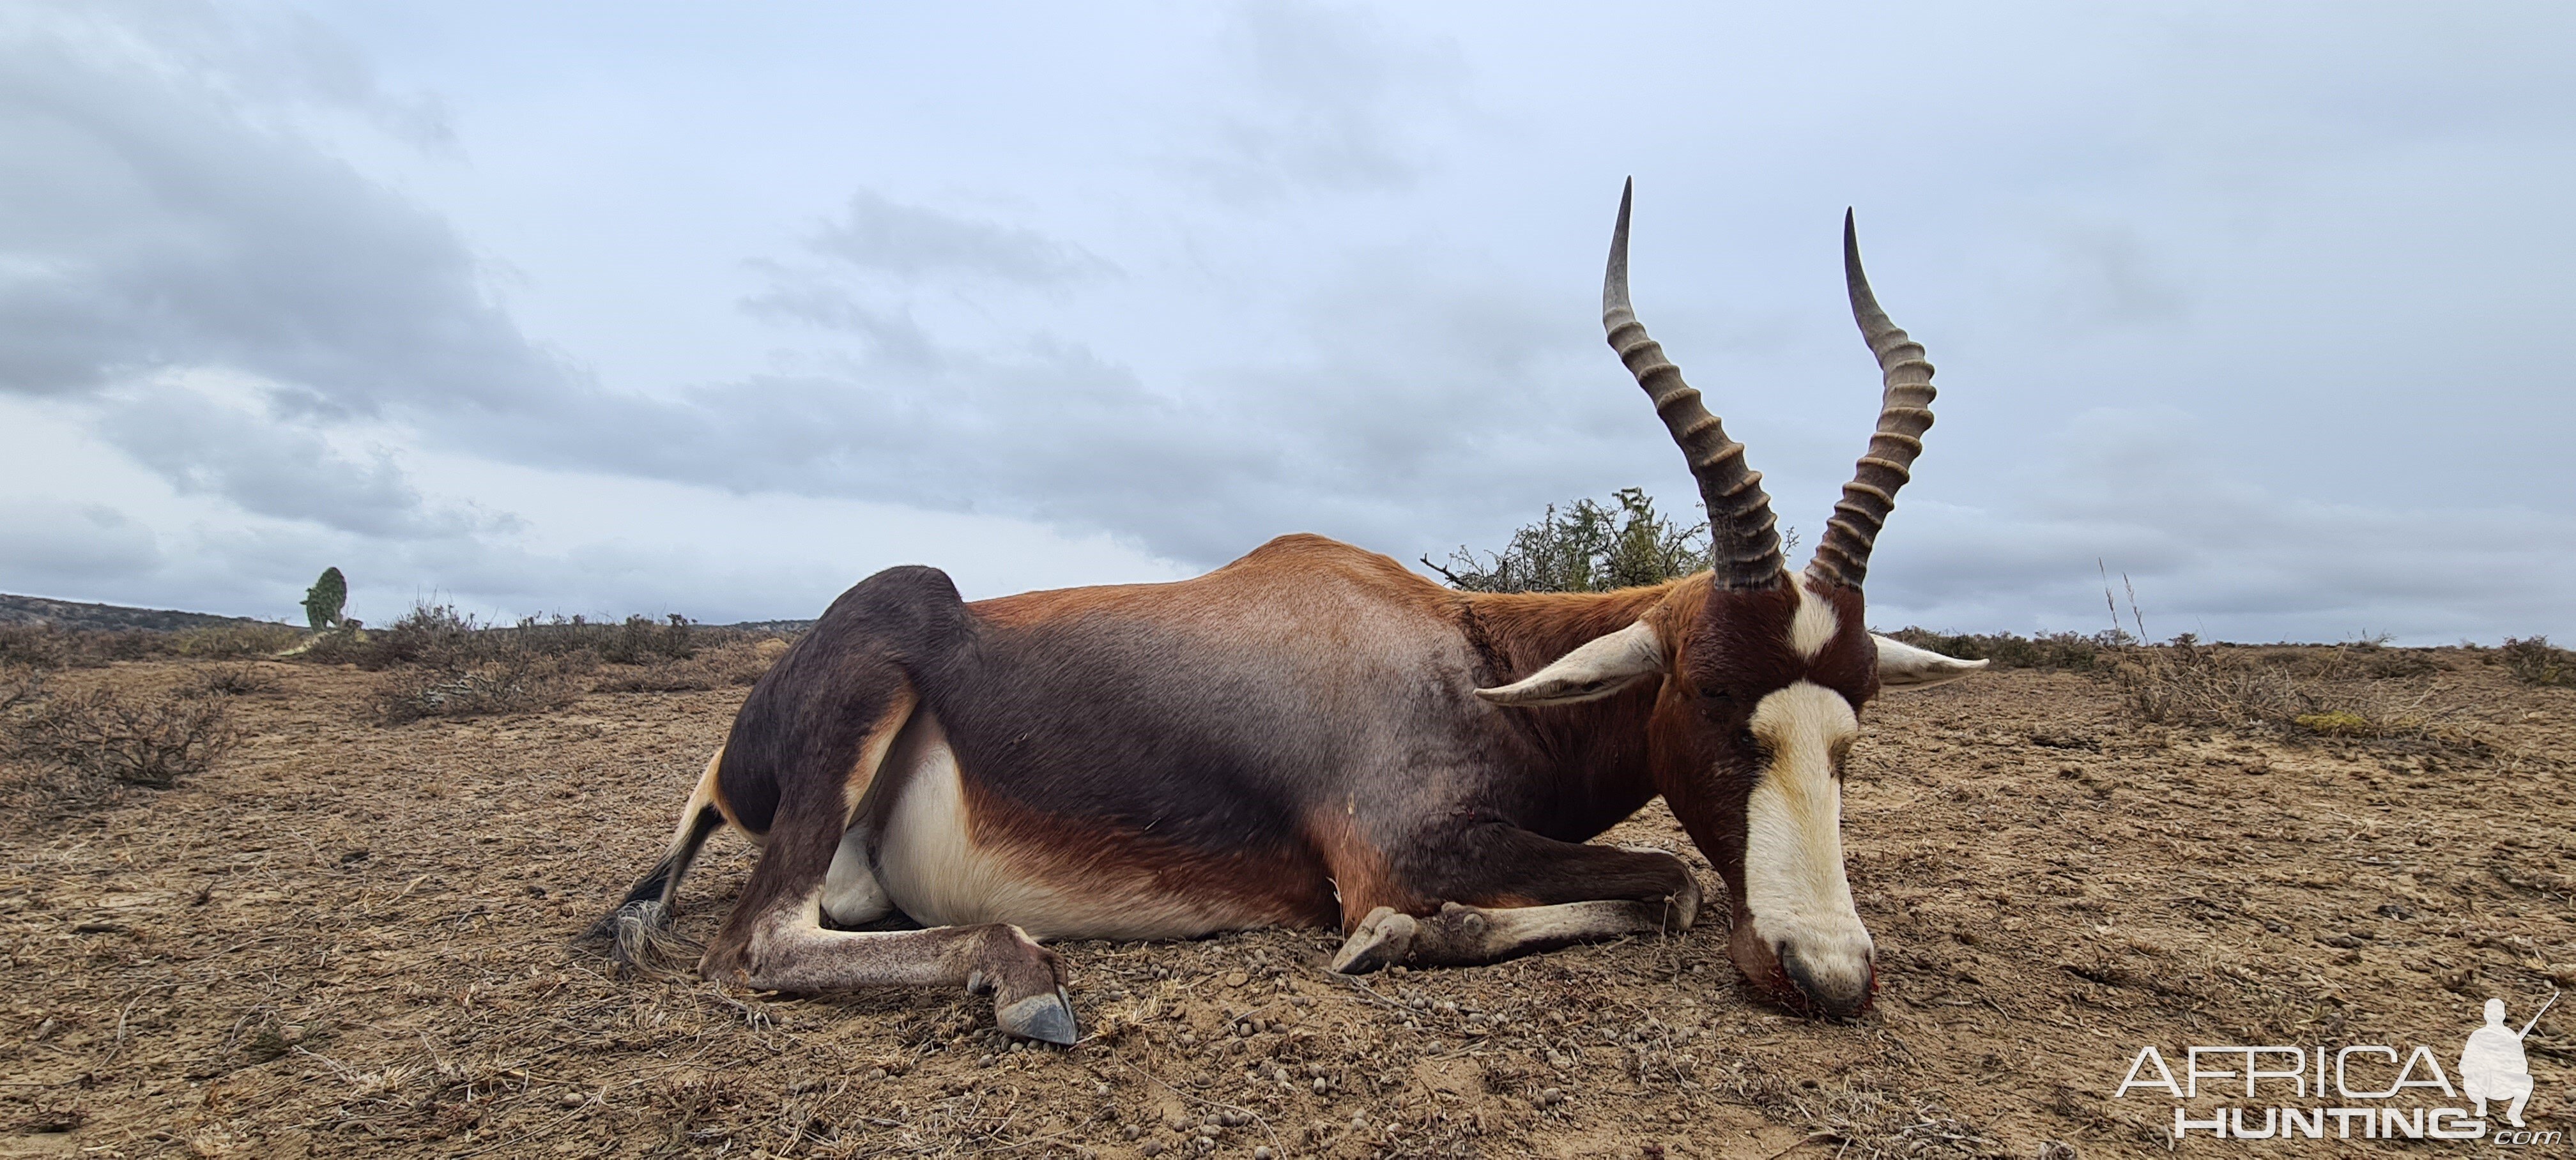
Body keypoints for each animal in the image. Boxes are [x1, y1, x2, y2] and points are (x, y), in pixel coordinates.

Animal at [592, 183, 1978, 1041]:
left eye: (1852, 722)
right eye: (1712, 697)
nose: (1827, 972)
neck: (1457, 648)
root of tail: (735, 748)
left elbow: (1667, 886)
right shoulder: (1398, 849)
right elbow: (1661, 881)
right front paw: (1393, 942)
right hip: (875, 670)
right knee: (754, 944)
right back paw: (1027, 981)